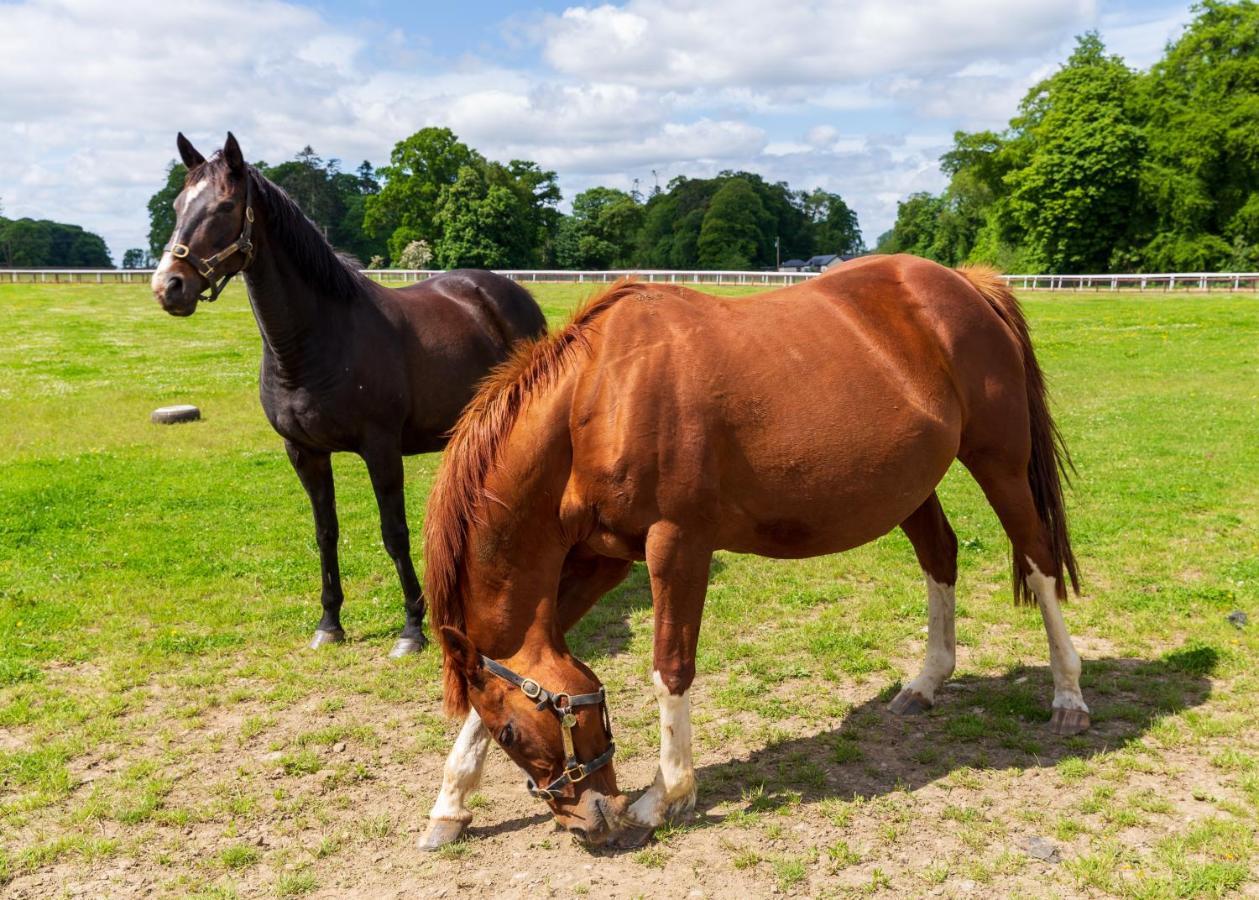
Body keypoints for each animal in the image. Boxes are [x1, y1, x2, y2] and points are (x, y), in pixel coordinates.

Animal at [152, 132, 546, 654]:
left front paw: (412, 628)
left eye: (225, 206)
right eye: (177, 205)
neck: (316, 339)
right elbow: (326, 533)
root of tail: (513, 294)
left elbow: (394, 532)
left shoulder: (381, 449)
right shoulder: (304, 453)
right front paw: (329, 623)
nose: (168, 286)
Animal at [417, 255, 1087, 850]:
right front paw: (449, 805)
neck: (598, 400)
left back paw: (1068, 698)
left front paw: (665, 797)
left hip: (1000, 463)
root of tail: (966, 284)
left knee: (1039, 562)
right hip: (911, 486)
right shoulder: (602, 557)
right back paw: (925, 683)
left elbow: (670, 667)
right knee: (941, 557)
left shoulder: (677, 543)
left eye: (513, 733)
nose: (589, 821)